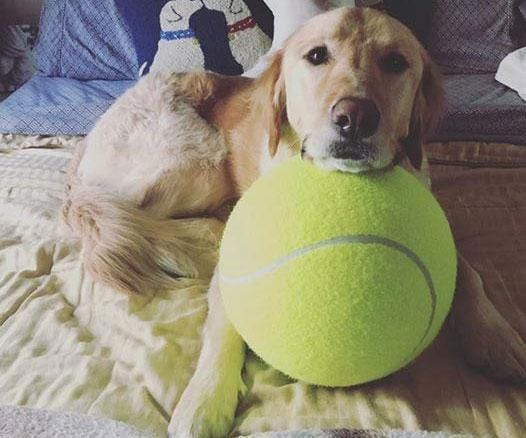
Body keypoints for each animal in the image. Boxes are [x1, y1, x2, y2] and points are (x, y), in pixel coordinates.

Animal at [63, 6, 526, 438]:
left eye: (395, 62)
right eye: (317, 55)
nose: (354, 117)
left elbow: (470, 274)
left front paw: (496, 336)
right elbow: (222, 330)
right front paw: (206, 399)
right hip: (197, 160)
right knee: (128, 214)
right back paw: (201, 235)